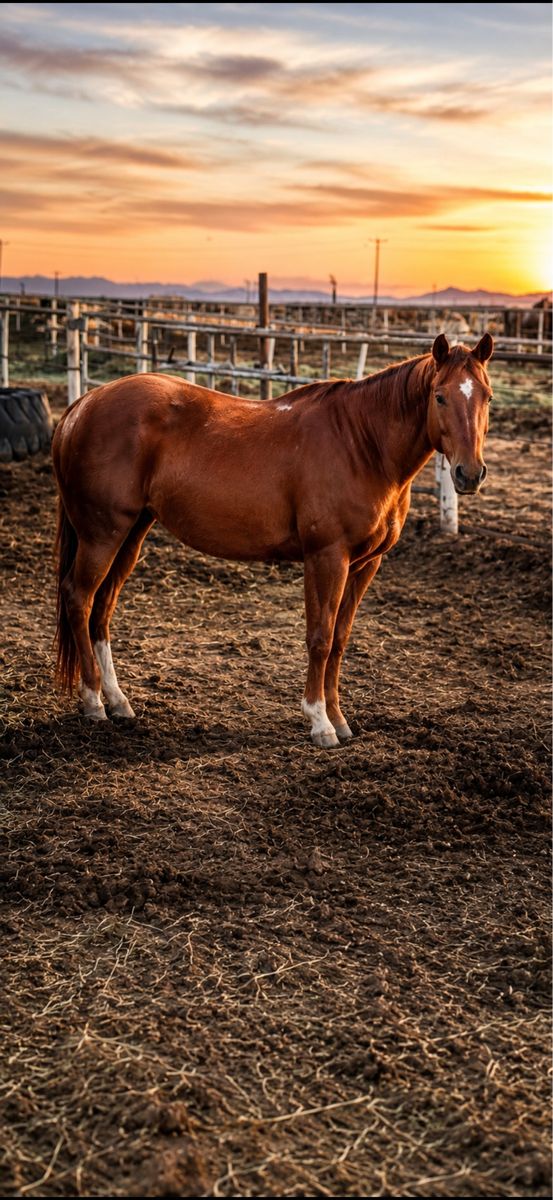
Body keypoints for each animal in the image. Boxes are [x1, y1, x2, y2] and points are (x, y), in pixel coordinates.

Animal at [52, 332, 493, 748]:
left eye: (486, 396)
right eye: (439, 396)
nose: (469, 474)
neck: (361, 444)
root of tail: (84, 403)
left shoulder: (366, 563)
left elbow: (340, 640)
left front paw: (339, 719)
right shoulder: (326, 557)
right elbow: (320, 638)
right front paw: (319, 722)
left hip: (131, 534)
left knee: (102, 609)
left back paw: (118, 702)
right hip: (102, 535)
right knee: (79, 598)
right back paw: (93, 703)